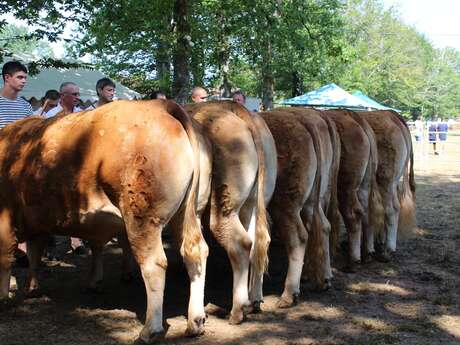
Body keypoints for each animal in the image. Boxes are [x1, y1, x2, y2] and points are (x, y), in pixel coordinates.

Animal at [0, 99, 211, 342]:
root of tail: (160, 104)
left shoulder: (5, 217)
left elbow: (6, 258)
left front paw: (3, 298)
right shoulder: (38, 221)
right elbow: (34, 254)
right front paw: (32, 288)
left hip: (142, 218)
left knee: (154, 264)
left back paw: (150, 330)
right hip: (188, 213)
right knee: (195, 252)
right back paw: (195, 321)